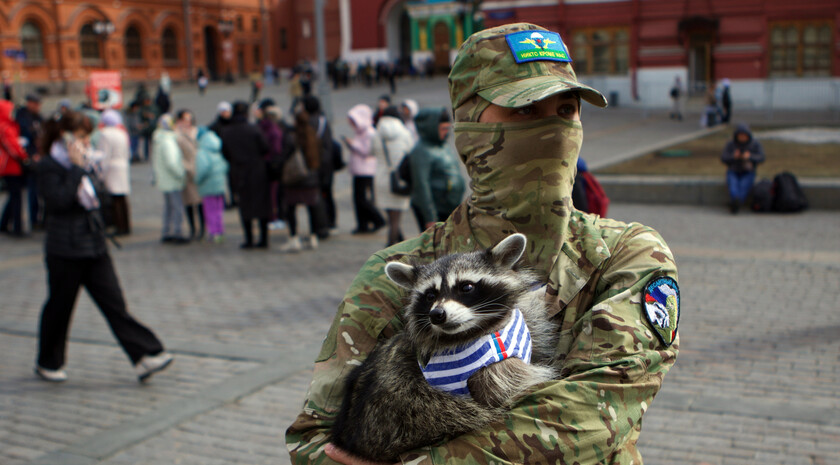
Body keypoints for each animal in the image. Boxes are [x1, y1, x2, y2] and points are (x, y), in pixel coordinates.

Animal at [332, 232, 560, 460]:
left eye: (466, 287)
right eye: (430, 295)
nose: (437, 314)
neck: (470, 331)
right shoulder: (490, 370)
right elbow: (510, 387)